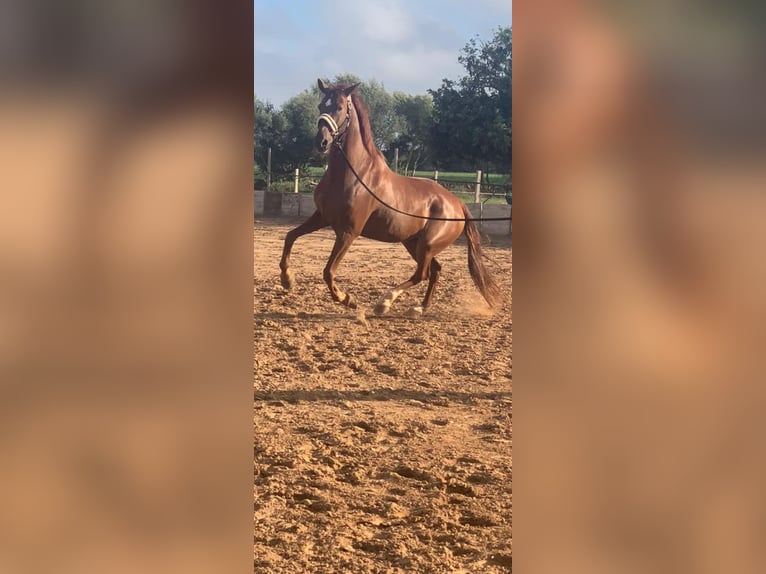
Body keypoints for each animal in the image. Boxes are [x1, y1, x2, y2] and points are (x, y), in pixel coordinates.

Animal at [280, 79, 500, 318]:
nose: (321, 142)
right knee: (435, 271)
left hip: (427, 244)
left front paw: (348, 299)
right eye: (321, 105)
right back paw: (419, 308)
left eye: (339, 107)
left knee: (421, 274)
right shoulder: (322, 217)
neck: (353, 174)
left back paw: (385, 302)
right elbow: (290, 237)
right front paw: (287, 279)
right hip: (413, 242)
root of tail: (457, 203)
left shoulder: (348, 232)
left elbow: (328, 272)